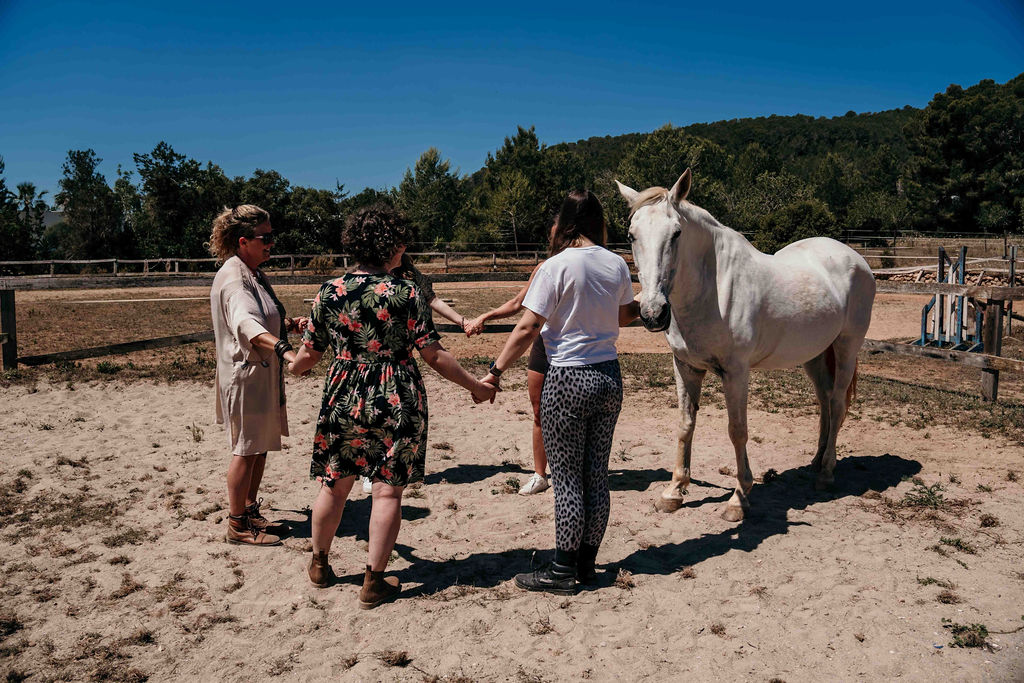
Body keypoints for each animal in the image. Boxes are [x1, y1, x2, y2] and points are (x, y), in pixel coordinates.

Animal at [616, 169, 875, 521]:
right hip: (816, 354)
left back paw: (826, 473)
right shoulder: (685, 367)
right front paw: (674, 491)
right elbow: (685, 425)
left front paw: (739, 499)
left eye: (677, 233)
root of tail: (857, 259)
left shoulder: (736, 372)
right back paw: (816, 461)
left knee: (836, 403)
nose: (654, 313)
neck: (712, 290)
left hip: (847, 346)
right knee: (824, 401)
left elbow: (737, 430)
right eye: (631, 235)